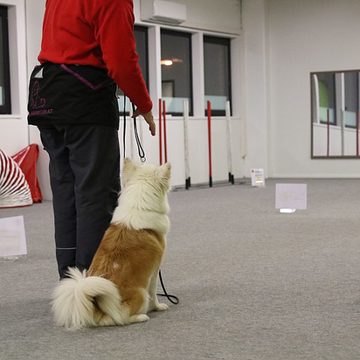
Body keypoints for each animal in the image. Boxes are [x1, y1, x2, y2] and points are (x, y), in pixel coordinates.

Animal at [51, 159, 173, 330]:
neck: (138, 205)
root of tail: (97, 309)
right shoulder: (154, 271)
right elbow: (154, 292)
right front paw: (158, 306)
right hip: (140, 293)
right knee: (123, 318)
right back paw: (141, 316)